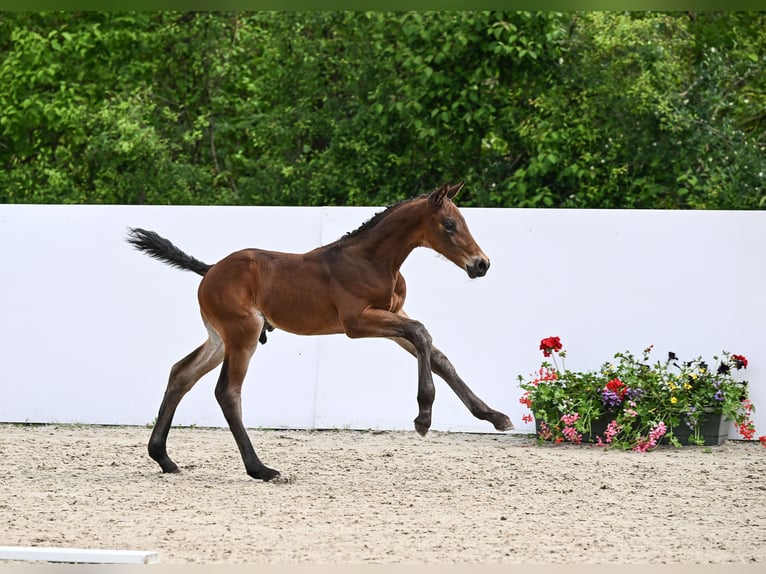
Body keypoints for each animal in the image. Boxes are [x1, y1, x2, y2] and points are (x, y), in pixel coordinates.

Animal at [129, 183, 516, 482]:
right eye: (449, 224)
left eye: (463, 222)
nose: (481, 264)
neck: (374, 259)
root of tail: (209, 270)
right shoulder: (357, 323)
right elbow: (422, 333)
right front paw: (423, 417)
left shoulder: (392, 317)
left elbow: (437, 354)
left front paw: (494, 416)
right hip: (243, 333)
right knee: (227, 391)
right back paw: (261, 469)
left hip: (220, 337)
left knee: (182, 372)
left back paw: (164, 458)